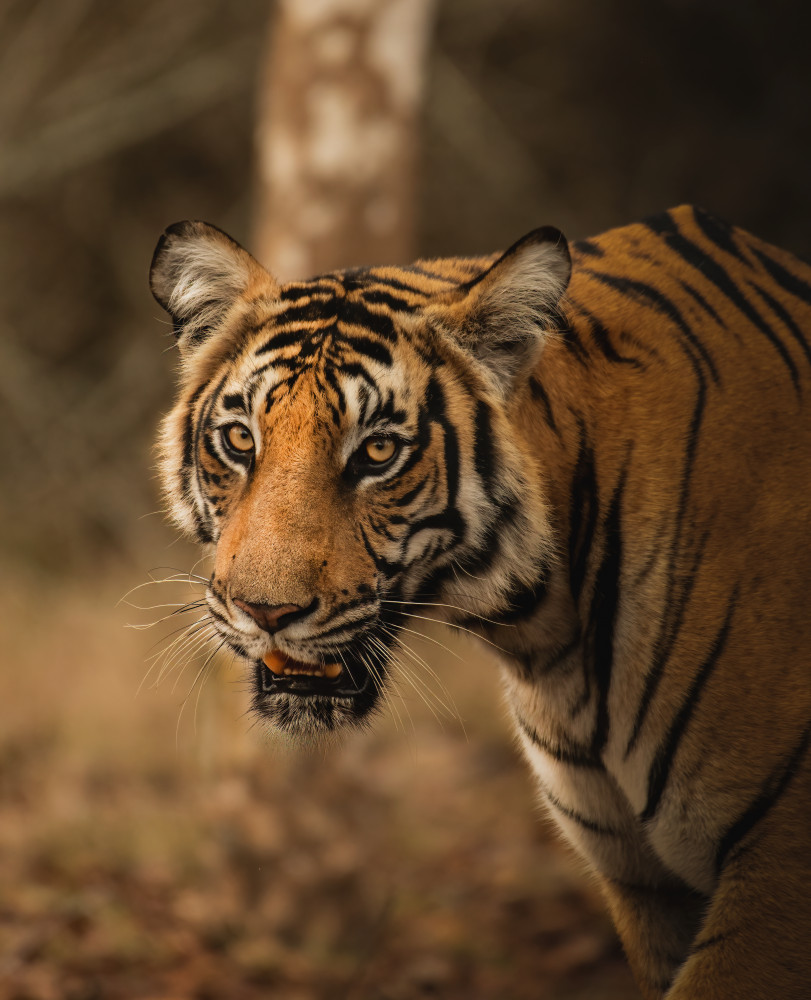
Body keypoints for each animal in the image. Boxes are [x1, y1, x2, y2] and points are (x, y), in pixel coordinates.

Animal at [150, 204, 811, 999]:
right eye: (239, 440)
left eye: (377, 453)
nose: (265, 612)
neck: (549, 639)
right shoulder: (645, 883)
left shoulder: (774, 874)